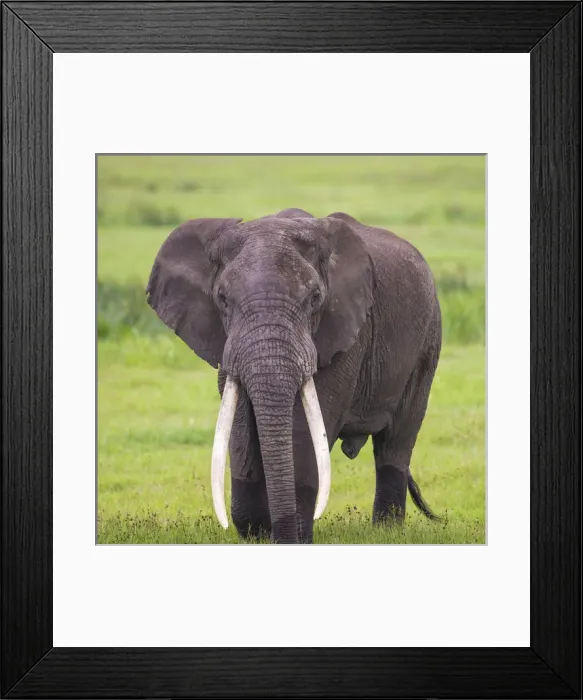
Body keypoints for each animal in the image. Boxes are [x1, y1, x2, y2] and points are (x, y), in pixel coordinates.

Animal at [146, 208, 441, 544]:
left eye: (314, 298)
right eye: (221, 298)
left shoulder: (346, 333)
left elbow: (305, 429)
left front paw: (294, 537)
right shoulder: (225, 342)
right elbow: (240, 424)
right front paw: (259, 534)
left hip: (427, 341)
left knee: (397, 441)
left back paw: (386, 533)